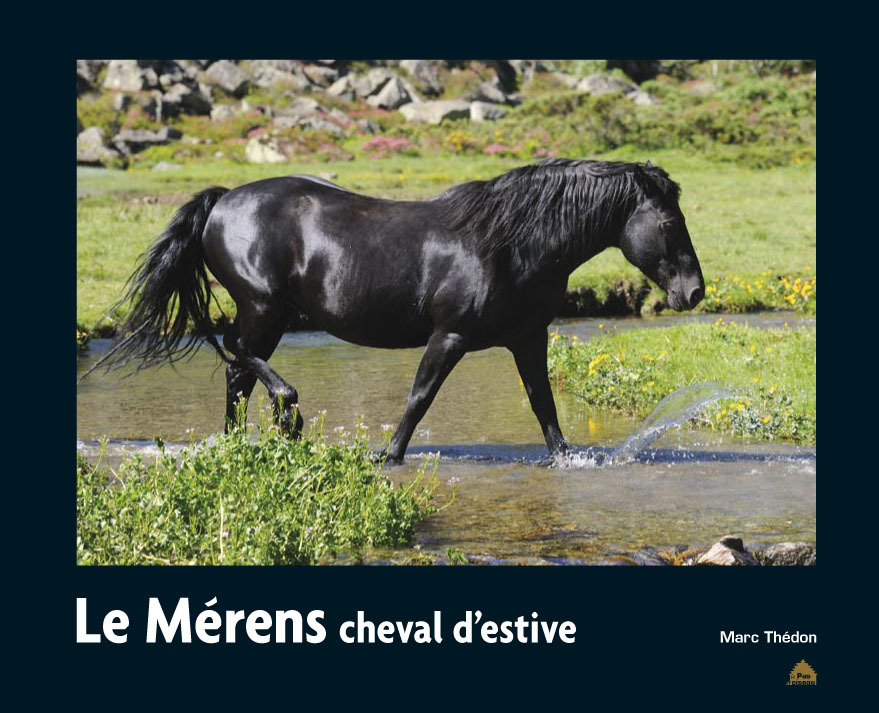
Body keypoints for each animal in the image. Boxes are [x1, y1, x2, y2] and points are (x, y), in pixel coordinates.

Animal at [90, 159, 704, 463]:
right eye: (668, 222)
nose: (694, 292)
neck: (508, 245)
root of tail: (223, 201)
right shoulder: (450, 336)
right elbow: (419, 398)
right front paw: (389, 456)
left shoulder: (529, 338)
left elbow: (544, 406)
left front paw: (568, 461)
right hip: (263, 307)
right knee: (240, 359)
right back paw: (289, 416)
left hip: (272, 314)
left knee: (237, 375)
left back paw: (239, 443)